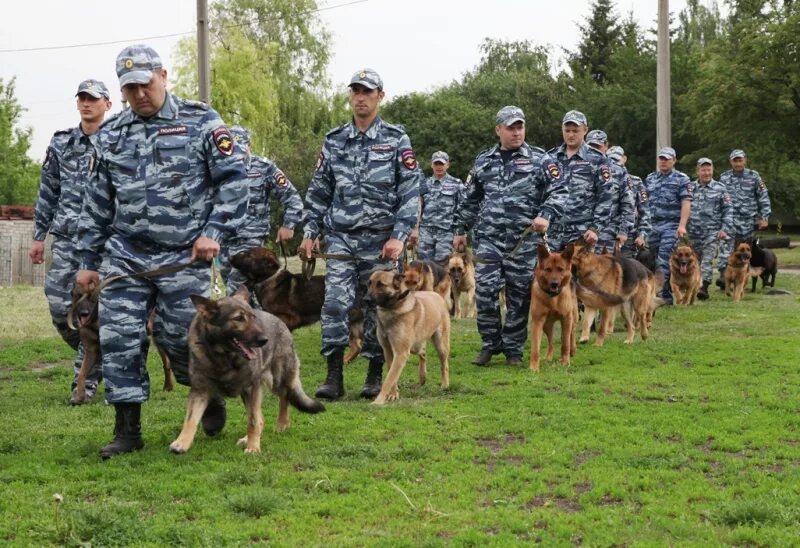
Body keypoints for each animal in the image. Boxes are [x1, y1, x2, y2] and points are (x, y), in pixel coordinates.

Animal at [170, 286, 324, 454]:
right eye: (238, 318)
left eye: (252, 317)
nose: (264, 340)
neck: (224, 355)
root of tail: (279, 321)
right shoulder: (200, 391)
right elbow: (190, 420)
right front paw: (182, 442)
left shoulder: (251, 388)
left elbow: (253, 421)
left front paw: (253, 447)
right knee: (261, 416)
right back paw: (247, 438)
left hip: (278, 379)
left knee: (284, 397)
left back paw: (281, 424)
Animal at [368, 270, 450, 404]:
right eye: (369, 283)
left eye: (381, 284)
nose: (365, 299)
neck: (392, 308)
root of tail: (436, 295)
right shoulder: (389, 351)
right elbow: (392, 374)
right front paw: (393, 394)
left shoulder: (401, 352)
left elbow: (389, 379)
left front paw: (378, 401)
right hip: (415, 346)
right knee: (423, 353)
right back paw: (422, 377)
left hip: (441, 345)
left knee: (444, 365)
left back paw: (445, 385)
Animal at [528, 244, 580, 372]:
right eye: (548, 269)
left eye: (560, 269)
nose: (554, 284)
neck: (553, 299)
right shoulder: (537, 322)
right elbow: (535, 347)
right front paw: (534, 367)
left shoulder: (566, 319)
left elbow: (565, 344)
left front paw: (565, 362)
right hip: (546, 326)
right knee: (551, 341)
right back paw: (549, 357)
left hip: (573, 319)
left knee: (571, 334)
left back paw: (572, 350)